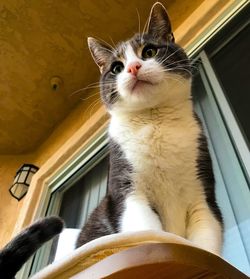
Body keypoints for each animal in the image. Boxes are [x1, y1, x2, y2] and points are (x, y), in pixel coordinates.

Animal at [75, 2, 223, 256]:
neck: (154, 120)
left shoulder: (202, 191)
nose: (133, 68)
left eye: (149, 52)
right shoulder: (128, 190)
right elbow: (147, 231)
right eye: (116, 67)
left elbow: (206, 239)